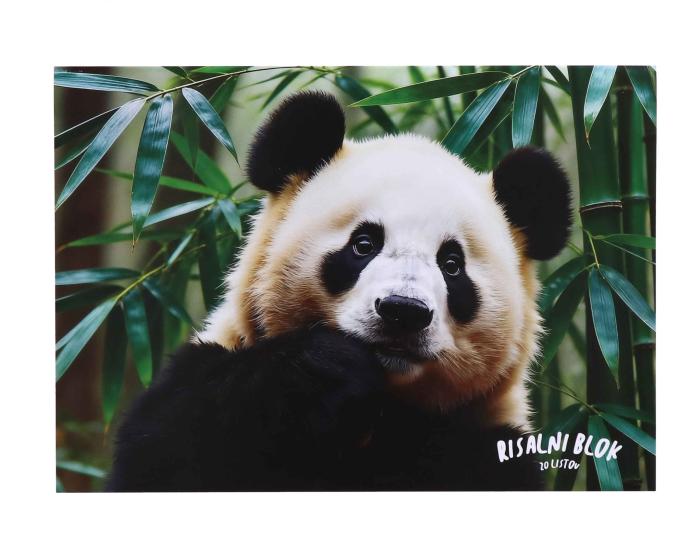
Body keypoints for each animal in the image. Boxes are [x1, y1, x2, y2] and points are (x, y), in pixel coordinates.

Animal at [106, 91, 572, 492]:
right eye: (364, 244)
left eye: (452, 265)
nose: (403, 311)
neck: (381, 415)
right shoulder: (204, 393)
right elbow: (171, 452)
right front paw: (325, 371)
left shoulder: (487, 446)